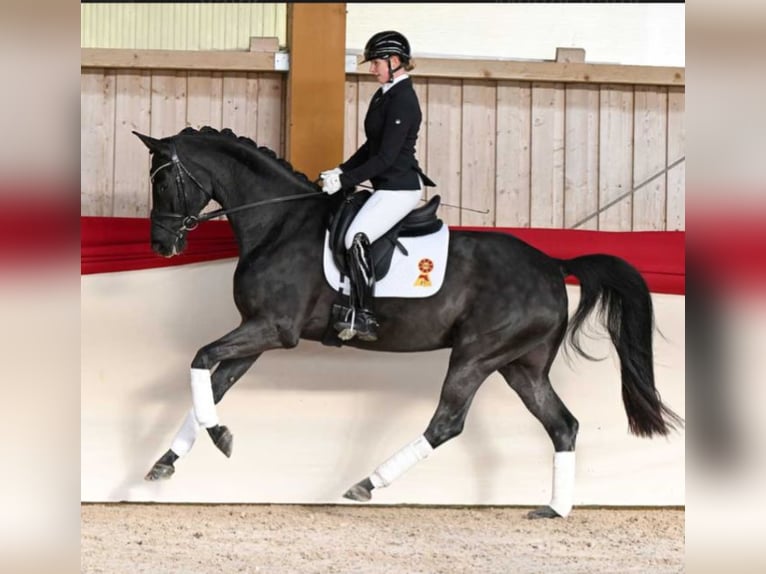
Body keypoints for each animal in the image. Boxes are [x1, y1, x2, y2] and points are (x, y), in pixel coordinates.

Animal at [134, 126, 682, 518]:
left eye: (162, 181)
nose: (161, 244)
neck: (279, 224)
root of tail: (552, 263)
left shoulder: (273, 329)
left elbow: (200, 359)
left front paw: (218, 437)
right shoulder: (256, 335)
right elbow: (210, 385)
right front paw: (167, 461)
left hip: (476, 355)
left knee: (448, 422)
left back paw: (366, 483)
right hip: (520, 366)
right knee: (562, 425)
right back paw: (554, 509)